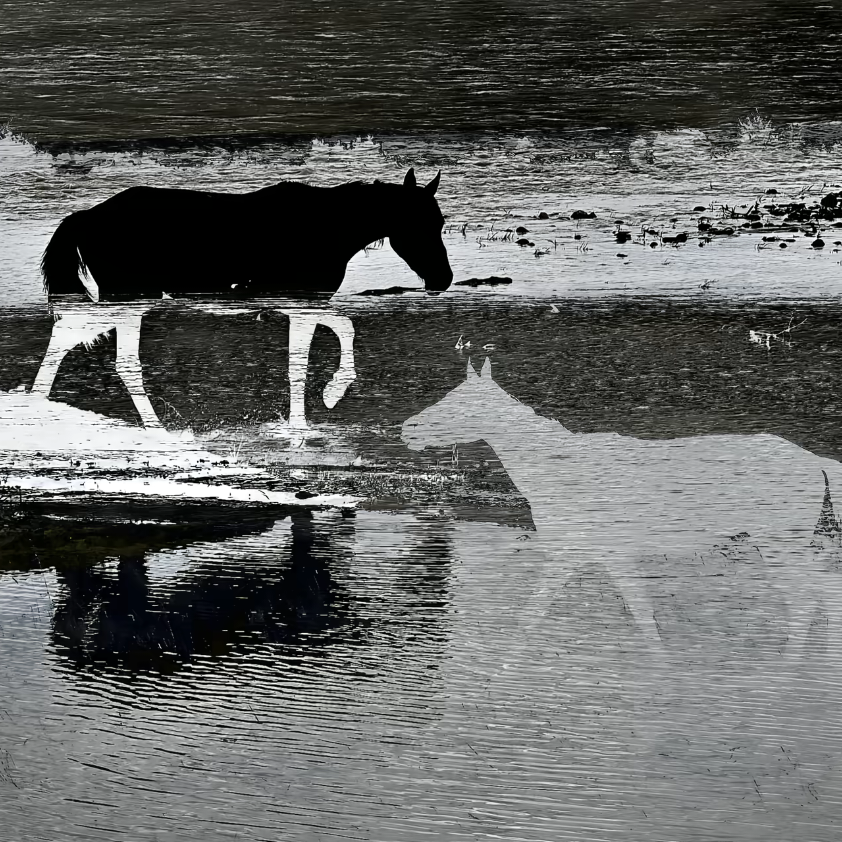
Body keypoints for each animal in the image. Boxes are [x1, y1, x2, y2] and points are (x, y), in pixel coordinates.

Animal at [33, 168, 452, 429]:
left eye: (441, 222)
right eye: (418, 223)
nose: (443, 278)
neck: (325, 226)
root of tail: (85, 216)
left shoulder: (299, 304)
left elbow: (324, 344)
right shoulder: (301, 303)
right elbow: (315, 353)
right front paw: (324, 403)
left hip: (127, 302)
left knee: (68, 334)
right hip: (130, 300)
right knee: (120, 361)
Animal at [402, 357, 842, 664]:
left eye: (459, 401)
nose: (406, 430)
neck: (560, 470)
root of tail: (813, 461)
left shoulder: (596, 555)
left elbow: (632, 615)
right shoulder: (585, 556)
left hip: (781, 546)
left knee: (807, 598)